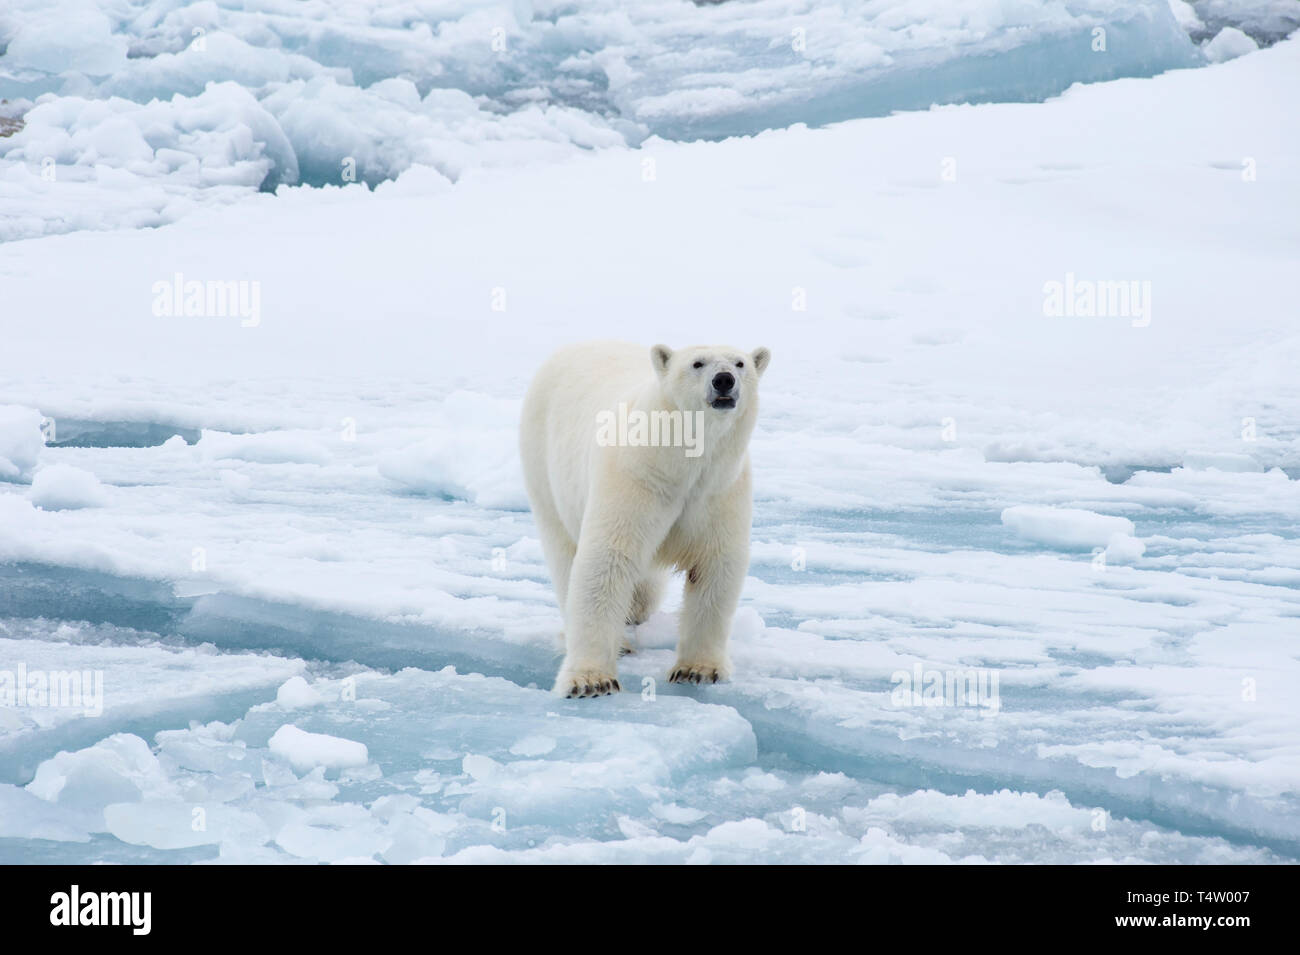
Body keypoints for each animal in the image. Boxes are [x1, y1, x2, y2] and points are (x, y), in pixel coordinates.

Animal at [520, 341, 771, 698]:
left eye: (740, 363)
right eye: (697, 363)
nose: (724, 380)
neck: (681, 463)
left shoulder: (720, 488)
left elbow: (716, 565)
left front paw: (698, 670)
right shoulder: (637, 477)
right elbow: (607, 560)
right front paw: (591, 680)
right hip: (543, 465)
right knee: (563, 553)